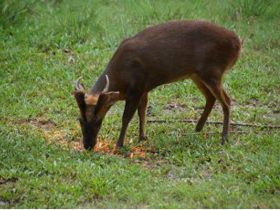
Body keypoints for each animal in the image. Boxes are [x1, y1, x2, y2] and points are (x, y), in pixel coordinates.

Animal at [73, 20, 242, 150]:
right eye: (80, 120)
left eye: (98, 121)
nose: (88, 146)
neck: (121, 77)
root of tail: (238, 43)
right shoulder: (144, 88)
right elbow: (142, 112)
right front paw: (142, 137)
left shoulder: (136, 87)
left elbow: (127, 117)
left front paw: (119, 144)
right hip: (197, 75)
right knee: (210, 98)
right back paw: (198, 128)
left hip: (213, 71)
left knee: (227, 101)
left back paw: (224, 138)